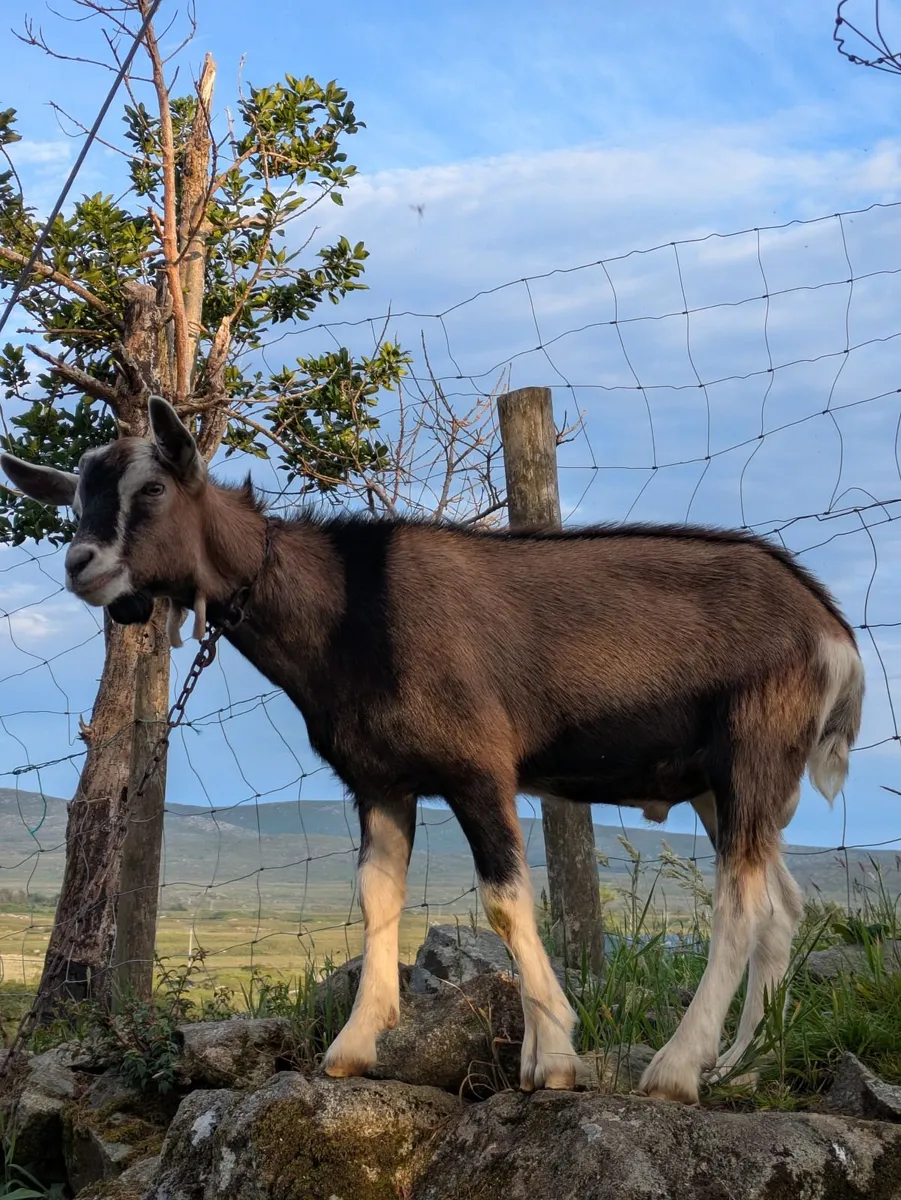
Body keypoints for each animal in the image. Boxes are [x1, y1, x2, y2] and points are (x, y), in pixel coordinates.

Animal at [1, 395, 864, 1104]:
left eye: (150, 490)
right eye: (76, 499)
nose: (81, 565)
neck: (349, 608)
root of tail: (831, 632)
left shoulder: (478, 764)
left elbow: (506, 899)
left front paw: (554, 1056)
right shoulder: (378, 781)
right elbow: (377, 895)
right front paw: (353, 1048)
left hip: (753, 747)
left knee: (739, 904)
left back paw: (677, 1070)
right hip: (719, 785)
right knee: (781, 908)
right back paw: (740, 1067)